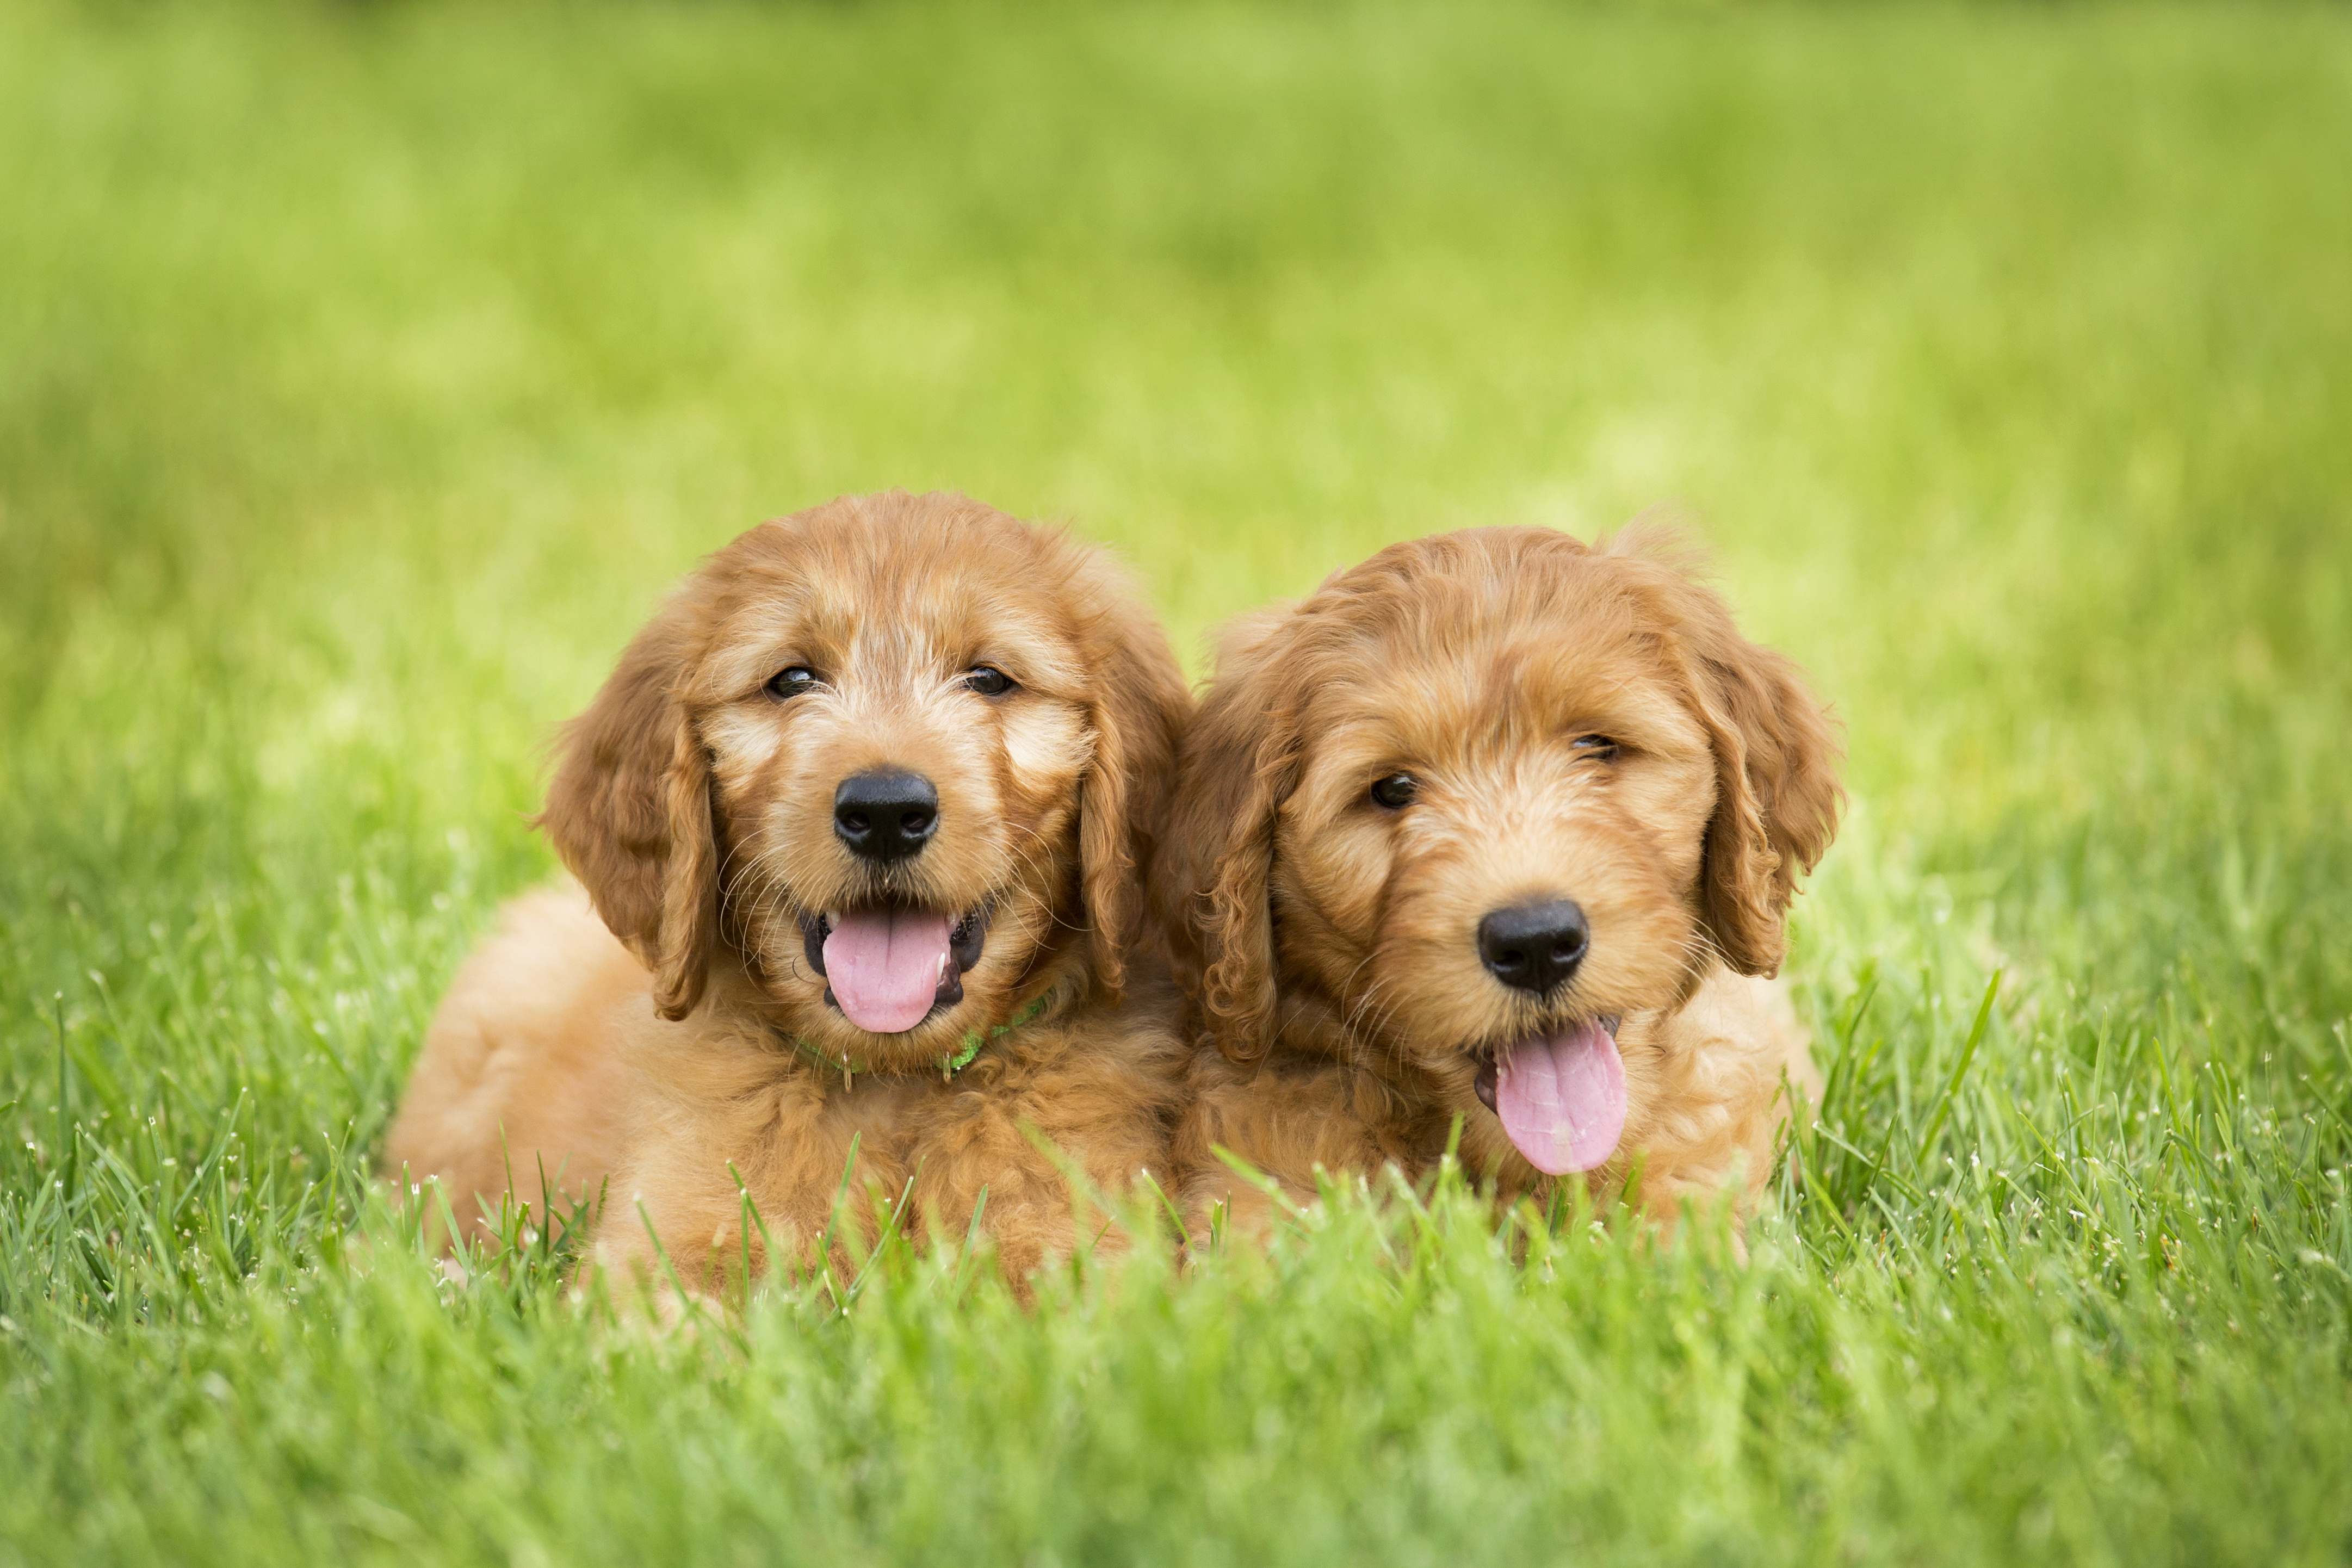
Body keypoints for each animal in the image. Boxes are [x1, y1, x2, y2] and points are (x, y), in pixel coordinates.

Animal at [390, 491, 1194, 1288]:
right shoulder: (667, 1250)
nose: (885, 811)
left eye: (990, 678)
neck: (894, 1082)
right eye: (792, 680)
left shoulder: (1082, 1250)